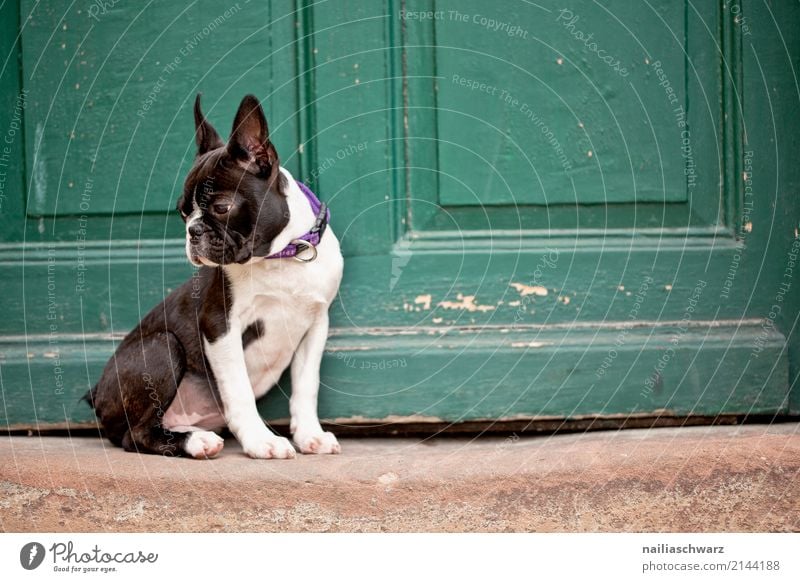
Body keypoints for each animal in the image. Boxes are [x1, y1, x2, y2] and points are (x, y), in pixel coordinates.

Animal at [87, 94, 344, 460]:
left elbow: (306, 386)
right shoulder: (220, 324)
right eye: (183, 212)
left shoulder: (316, 325)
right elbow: (238, 388)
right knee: (133, 435)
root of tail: (95, 395)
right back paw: (196, 442)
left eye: (221, 208)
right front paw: (261, 440)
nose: (192, 231)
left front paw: (310, 434)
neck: (282, 256)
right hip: (161, 347)